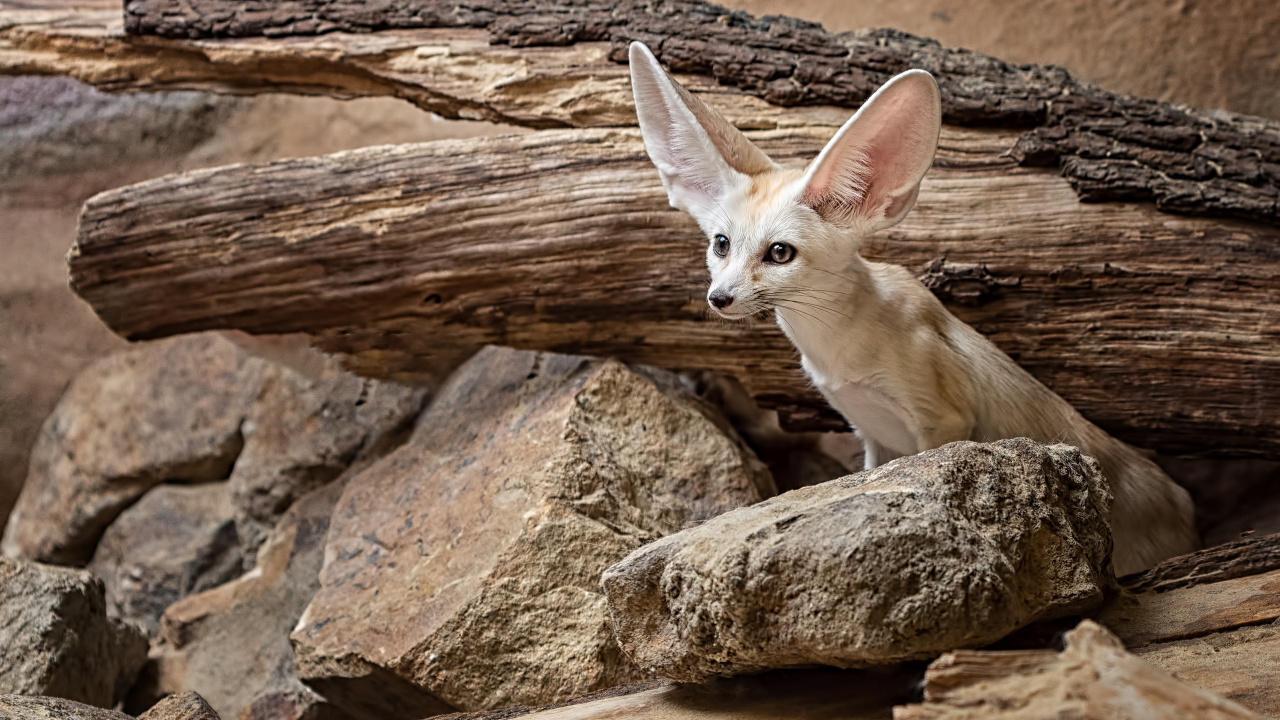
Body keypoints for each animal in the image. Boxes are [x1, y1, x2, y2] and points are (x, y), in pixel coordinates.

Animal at [627, 41, 1198, 575]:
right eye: (721, 244)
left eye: (780, 253)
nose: (718, 298)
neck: (838, 345)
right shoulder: (873, 438)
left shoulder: (941, 420)